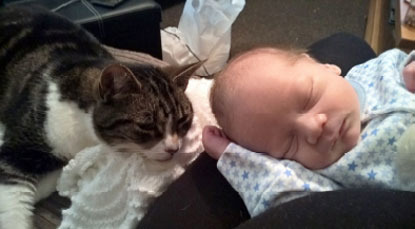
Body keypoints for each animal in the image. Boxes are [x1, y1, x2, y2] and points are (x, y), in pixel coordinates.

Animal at [0, 5, 202, 229]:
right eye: (147, 126)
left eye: (183, 121)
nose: (174, 149)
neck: (84, 135)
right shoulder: (17, 151)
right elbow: (13, 205)